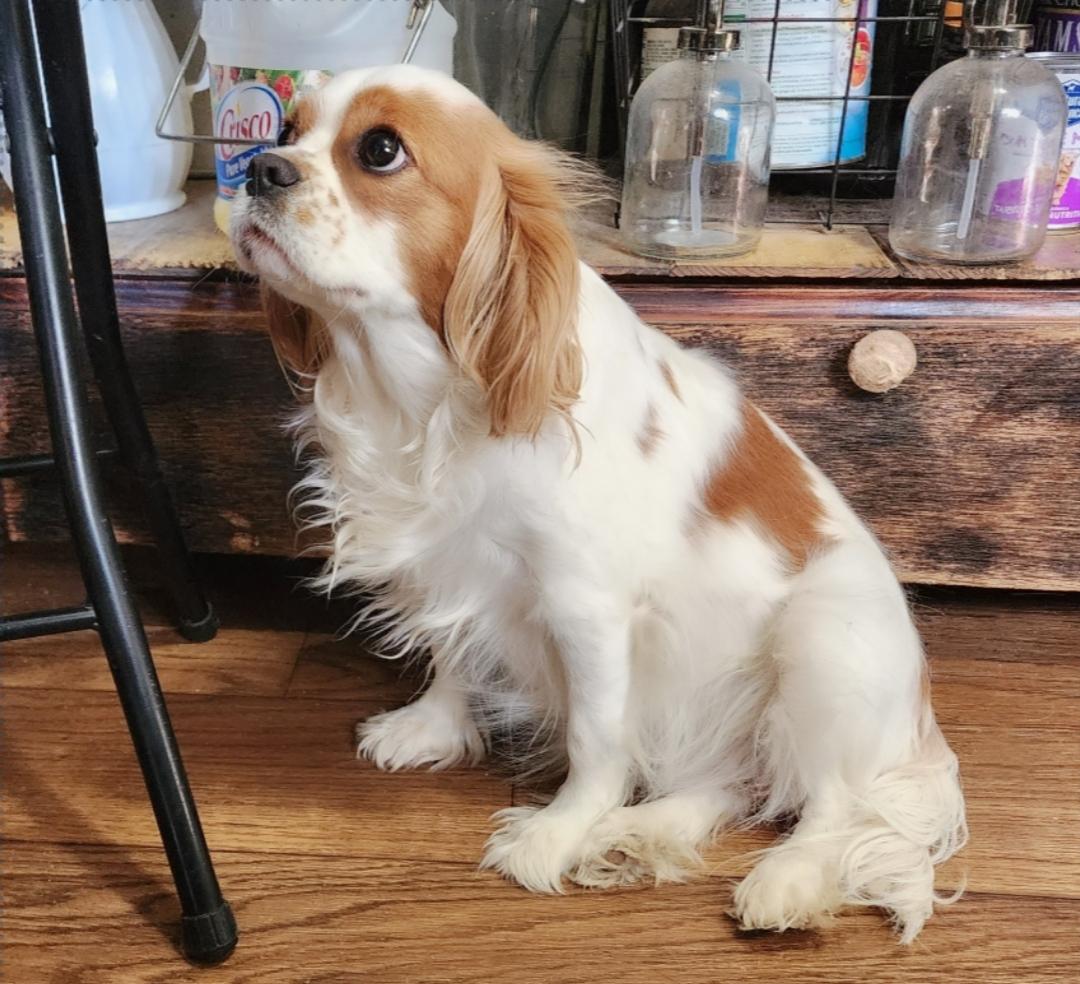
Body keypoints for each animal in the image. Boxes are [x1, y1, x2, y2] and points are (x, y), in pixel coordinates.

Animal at [231, 65, 966, 941]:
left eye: (380, 150)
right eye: (288, 130)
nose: (259, 169)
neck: (426, 391)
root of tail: (919, 726)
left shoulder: (584, 609)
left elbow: (595, 740)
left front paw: (555, 831)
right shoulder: (446, 563)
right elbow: (451, 655)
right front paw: (433, 726)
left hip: (825, 644)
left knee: (832, 805)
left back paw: (781, 879)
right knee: (732, 785)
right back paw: (637, 834)